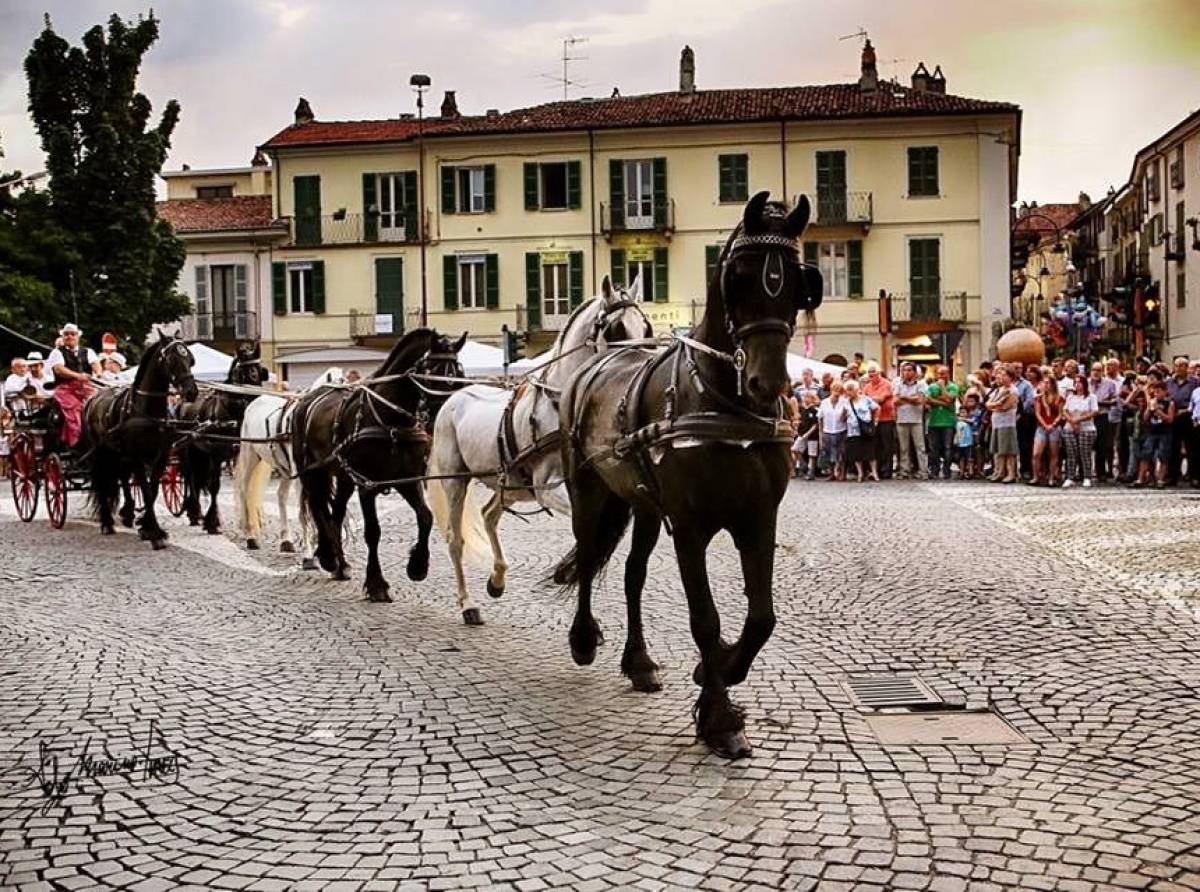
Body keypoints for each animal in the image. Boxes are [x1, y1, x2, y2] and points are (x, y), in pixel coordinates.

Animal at [83, 333, 199, 547]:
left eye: (190, 359)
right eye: (172, 359)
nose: (191, 392)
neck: (147, 412)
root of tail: (92, 398)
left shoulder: (160, 457)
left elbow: (152, 490)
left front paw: (147, 525)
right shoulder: (137, 457)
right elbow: (145, 489)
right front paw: (153, 531)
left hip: (118, 455)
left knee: (121, 478)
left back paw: (128, 512)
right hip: (100, 454)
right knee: (102, 483)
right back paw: (107, 523)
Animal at [235, 367, 345, 569]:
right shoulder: (303, 477)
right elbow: (304, 513)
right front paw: (309, 555)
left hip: (285, 469)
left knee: (281, 496)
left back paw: (286, 540)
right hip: (250, 455)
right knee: (244, 491)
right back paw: (251, 536)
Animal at [290, 324, 468, 602]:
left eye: (458, 372)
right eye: (432, 370)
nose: (444, 414)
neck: (391, 420)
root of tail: (307, 398)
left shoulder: (408, 480)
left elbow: (426, 517)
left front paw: (417, 565)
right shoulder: (367, 485)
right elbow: (373, 532)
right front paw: (376, 584)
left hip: (343, 476)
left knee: (336, 511)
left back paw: (340, 564)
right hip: (312, 472)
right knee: (319, 508)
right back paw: (328, 556)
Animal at [427, 276, 652, 624]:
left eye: (645, 326)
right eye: (616, 329)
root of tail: (453, 398)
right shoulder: (547, 488)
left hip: (511, 485)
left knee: (489, 515)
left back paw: (497, 579)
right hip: (456, 481)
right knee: (455, 540)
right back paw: (467, 604)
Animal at [554, 192, 825, 758]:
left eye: (799, 280)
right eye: (738, 277)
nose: (768, 381)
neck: (722, 402)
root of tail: (591, 369)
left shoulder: (758, 520)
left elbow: (761, 617)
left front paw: (719, 666)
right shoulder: (691, 527)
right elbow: (704, 617)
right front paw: (720, 717)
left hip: (641, 505)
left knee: (632, 574)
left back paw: (639, 661)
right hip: (589, 493)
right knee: (588, 559)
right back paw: (584, 639)